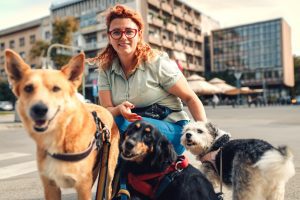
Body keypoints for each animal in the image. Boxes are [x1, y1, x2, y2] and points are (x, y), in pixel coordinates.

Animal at [4, 48, 119, 200]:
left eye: (56, 89)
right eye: (28, 88)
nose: (39, 109)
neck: (60, 137)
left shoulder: (83, 187)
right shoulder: (50, 187)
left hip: (109, 170)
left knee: (108, 189)